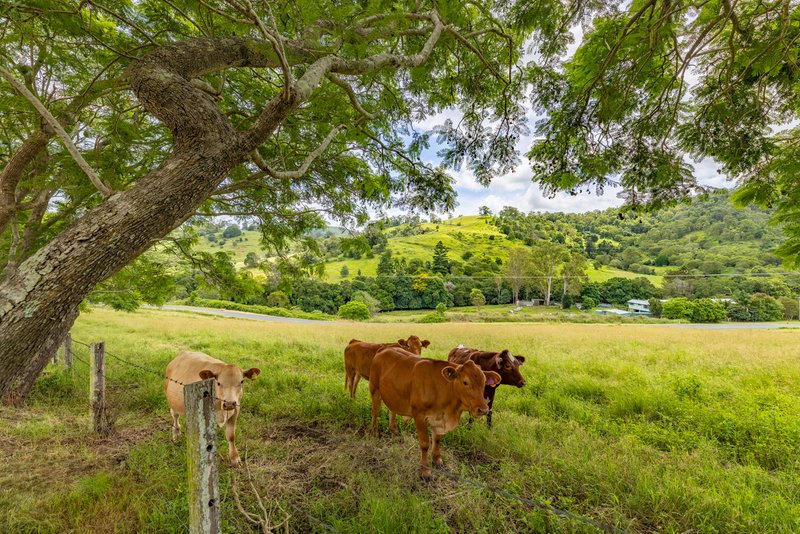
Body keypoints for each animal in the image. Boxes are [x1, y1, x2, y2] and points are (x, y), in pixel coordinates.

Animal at [370, 348, 500, 482]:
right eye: (465, 382)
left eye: (484, 382)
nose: (483, 409)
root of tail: (384, 349)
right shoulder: (419, 415)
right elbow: (425, 444)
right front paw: (425, 472)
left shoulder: (438, 419)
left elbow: (437, 440)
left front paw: (438, 461)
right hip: (375, 389)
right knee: (375, 411)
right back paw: (375, 433)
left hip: (393, 395)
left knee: (392, 410)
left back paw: (394, 432)